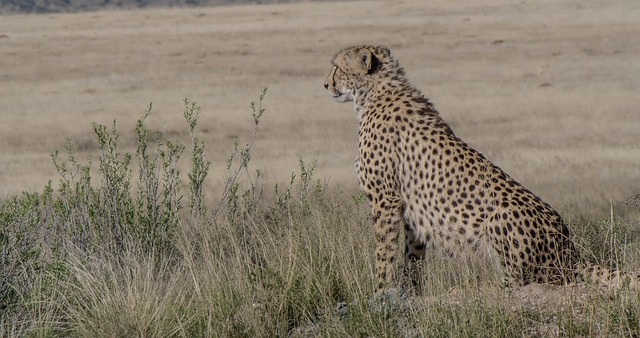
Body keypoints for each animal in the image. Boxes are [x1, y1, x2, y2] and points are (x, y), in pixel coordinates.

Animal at [322, 44, 636, 294]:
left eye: (337, 66)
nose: (325, 85)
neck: (375, 93)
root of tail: (569, 248)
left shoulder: (385, 200)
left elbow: (383, 251)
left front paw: (380, 291)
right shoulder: (411, 208)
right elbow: (412, 256)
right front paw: (412, 291)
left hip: (501, 218)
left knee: (526, 281)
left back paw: (480, 287)